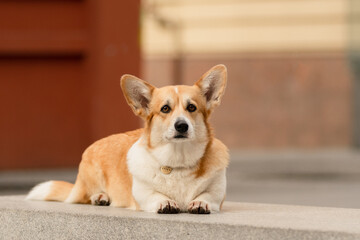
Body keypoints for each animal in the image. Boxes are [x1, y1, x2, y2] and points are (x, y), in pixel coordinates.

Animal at [26, 64, 228, 214]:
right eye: (165, 109)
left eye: (192, 107)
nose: (182, 126)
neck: (178, 160)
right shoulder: (143, 193)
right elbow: (156, 195)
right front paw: (165, 202)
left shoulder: (217, 193)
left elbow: (208, 195)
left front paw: (200, 202)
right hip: (91, 179)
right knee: (87, 196)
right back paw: (100, 197)